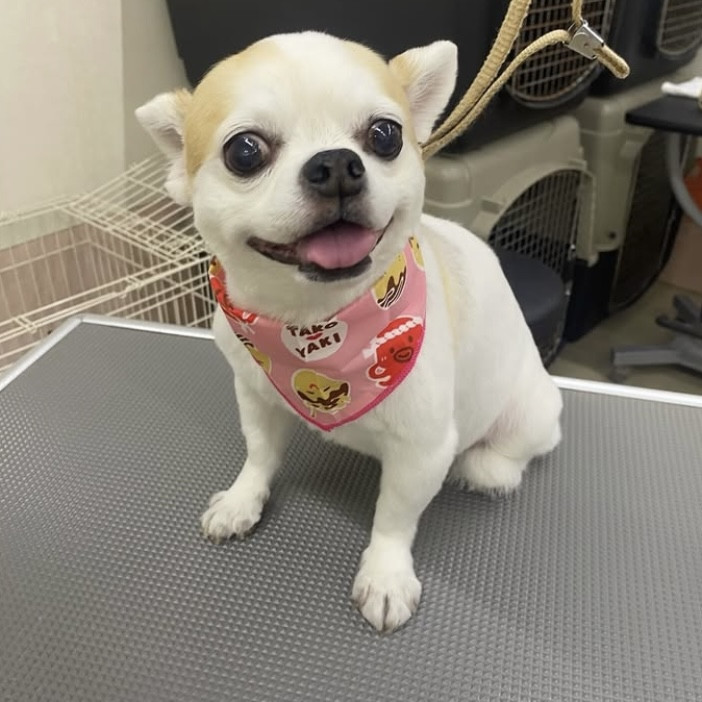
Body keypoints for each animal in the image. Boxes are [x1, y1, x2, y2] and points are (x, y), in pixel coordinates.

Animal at [136, 31, 563, 633]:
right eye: (245, 152)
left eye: (385, 136)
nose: (337, 163)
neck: (314, 323)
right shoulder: (256, 395)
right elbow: (259, 454)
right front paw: (243, 501)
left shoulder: (422, 448)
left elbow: (394, 518)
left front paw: (386, 577)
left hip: (529, 411)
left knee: (525, 447)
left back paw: (485, 468)